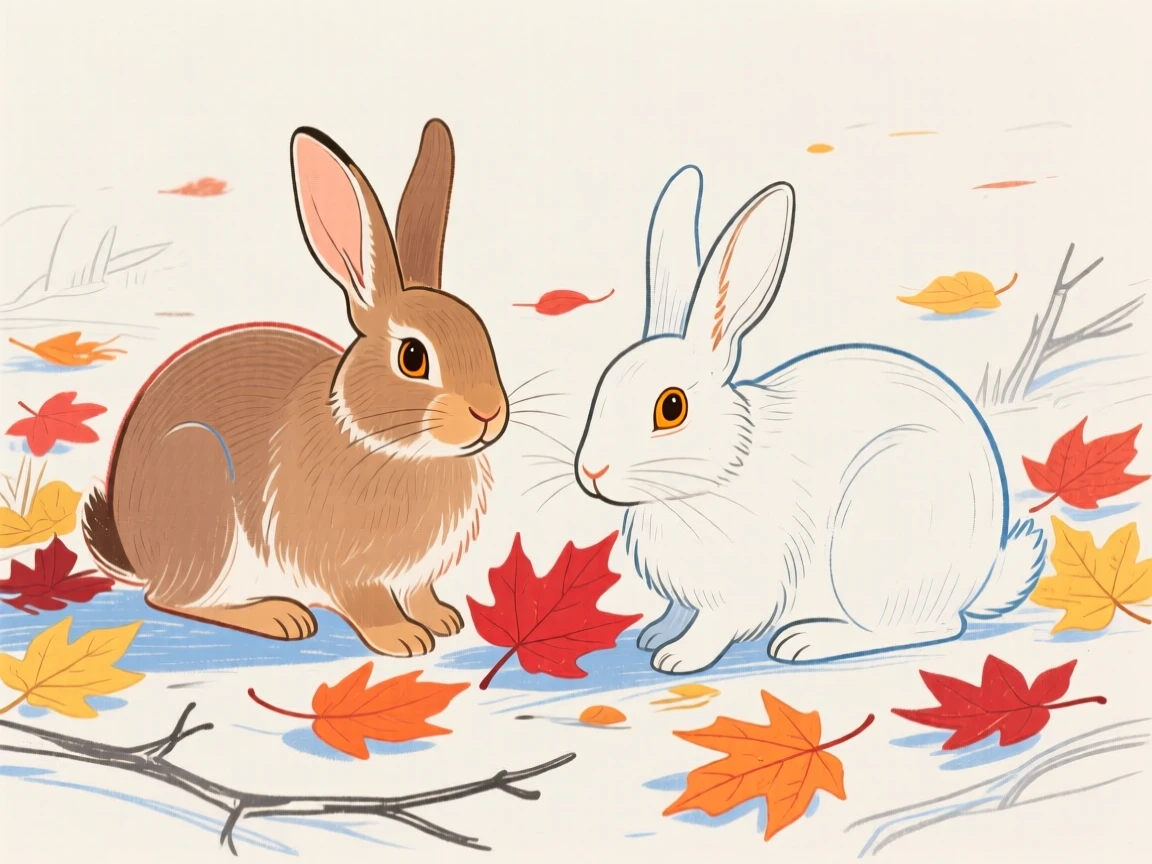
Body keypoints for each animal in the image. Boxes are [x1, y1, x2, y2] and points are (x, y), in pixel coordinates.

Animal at [81, 119, 508, 658]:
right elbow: (367, 603)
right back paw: (281, 617)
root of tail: (136, 550)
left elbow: (420, 592)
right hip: (202, 500)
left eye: (482, 332)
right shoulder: (341, 566)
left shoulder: (417, 574)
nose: (489, 413)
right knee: (171, 598)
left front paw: (444, 619)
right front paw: (404, 639)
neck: (389, 445)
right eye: (413, 357)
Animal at [573, 165, 1048, 674]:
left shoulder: (744, 588)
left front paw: (678, 656)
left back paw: (807, 641)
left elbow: (716, 625)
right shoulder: (688, 592)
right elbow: (678, 609)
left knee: (926, 628)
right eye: (603, 384)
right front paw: (656, 633)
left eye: (671, 408)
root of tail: (978, 578)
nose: (591, 471)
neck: (720, 473)